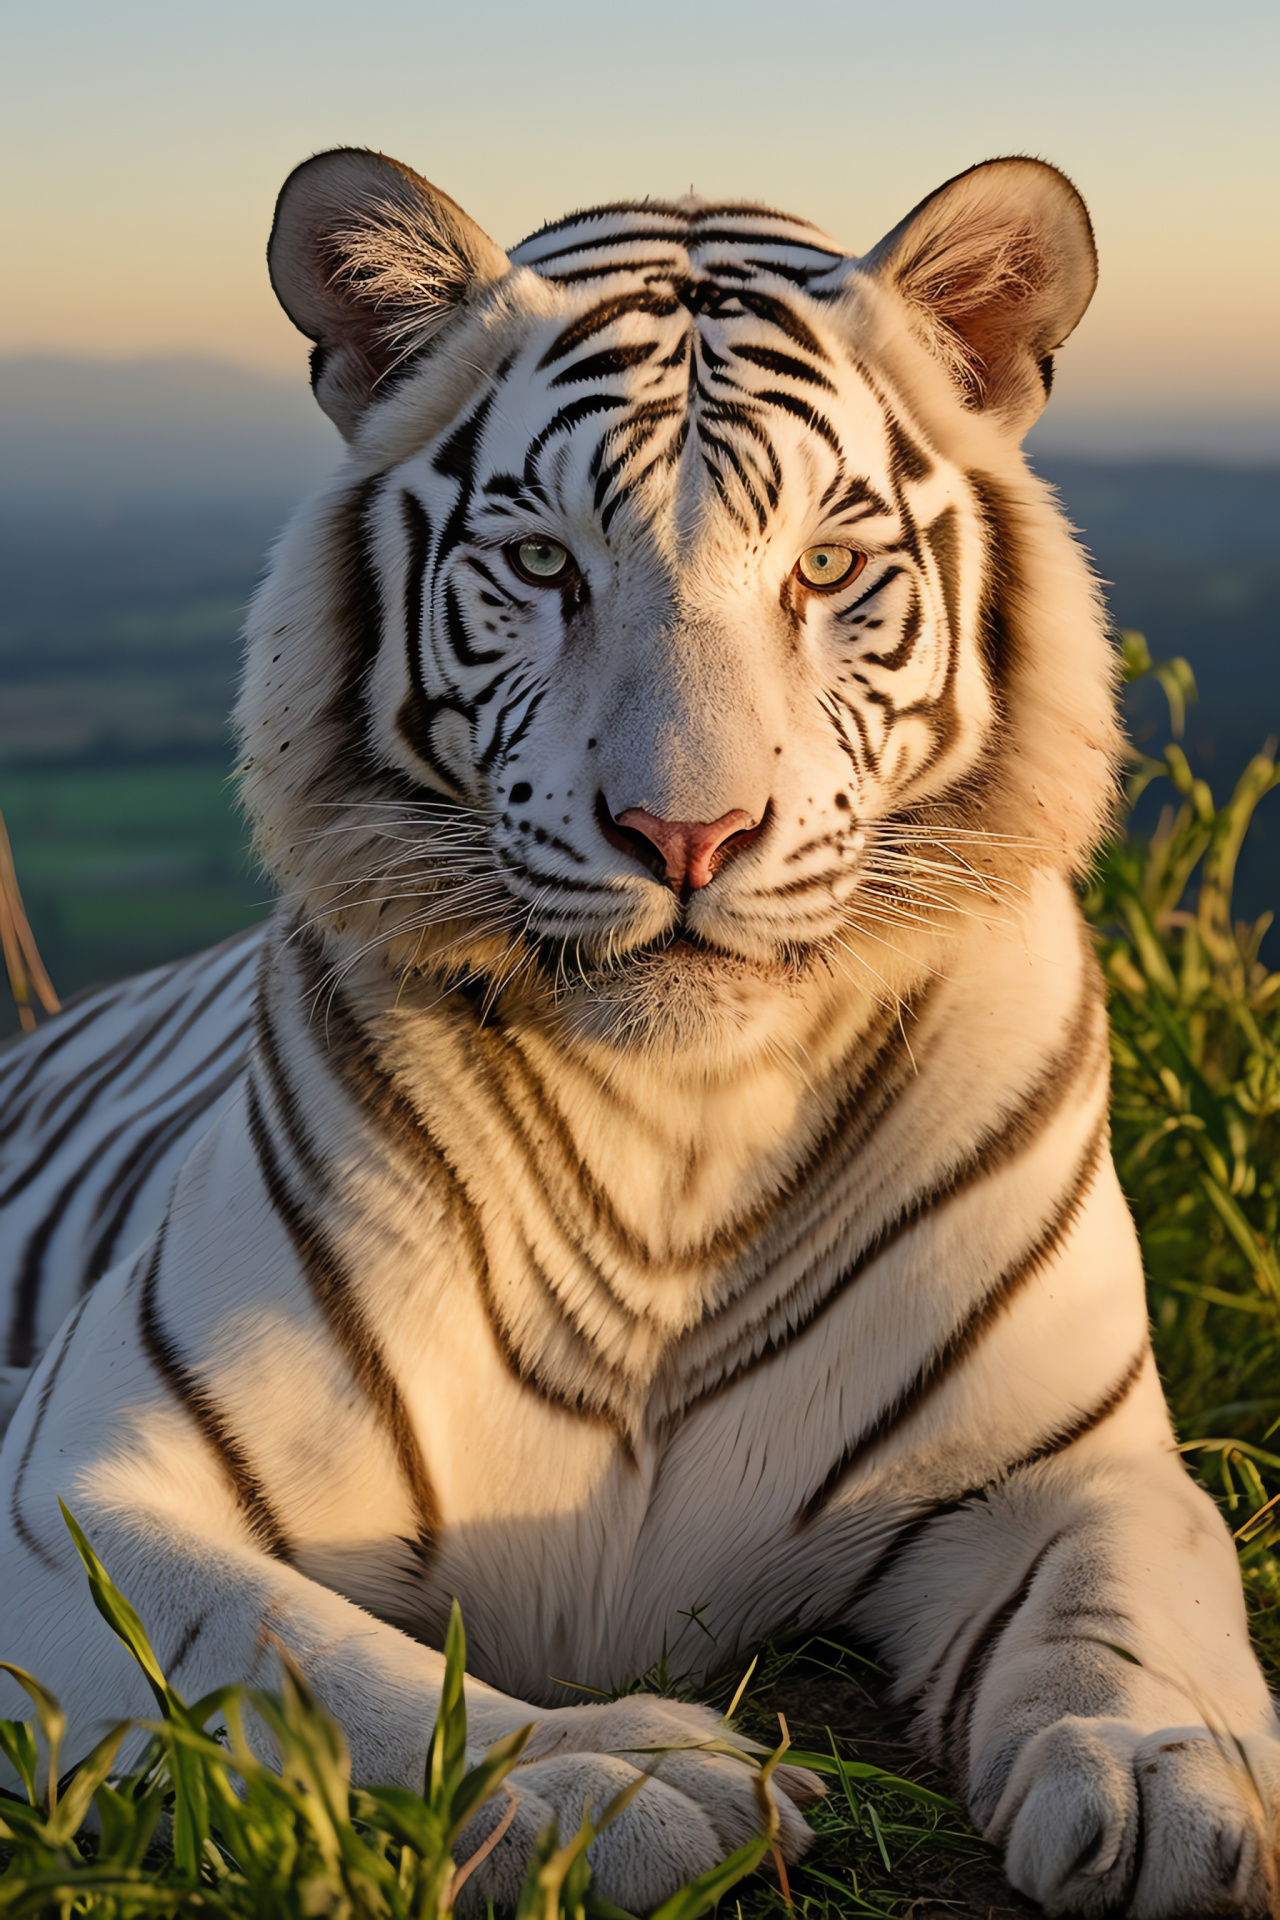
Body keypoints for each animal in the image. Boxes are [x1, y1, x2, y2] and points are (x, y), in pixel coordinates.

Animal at [0, 153, 1274, 1920]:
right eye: (543, 567)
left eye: (826, 569)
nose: (688, 835)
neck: (685, 1112)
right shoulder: (77, 1488)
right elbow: (290, 1661)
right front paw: (615, 1778)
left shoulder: (1068, 1461)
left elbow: (1126, 1606)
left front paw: (1164, 1774)